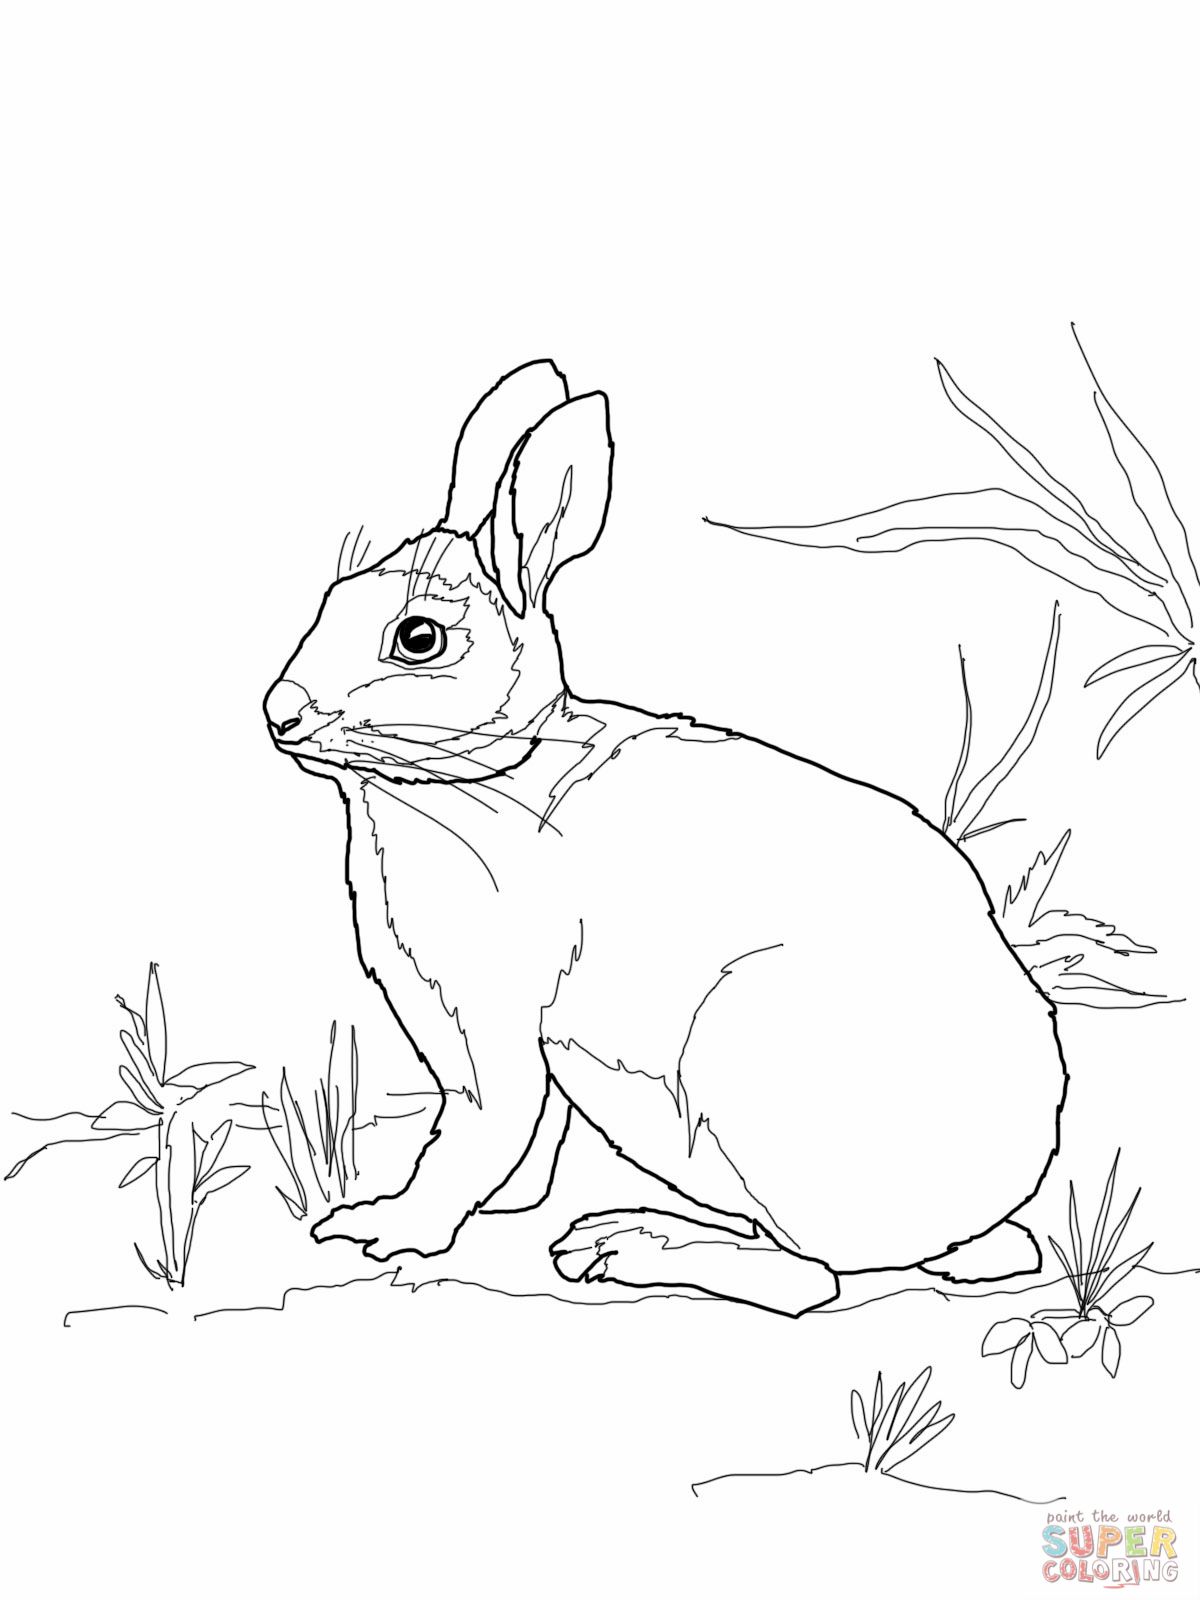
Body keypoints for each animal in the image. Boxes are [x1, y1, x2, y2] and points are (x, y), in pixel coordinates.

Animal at [263, 358, 1068, 1316]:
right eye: (330, 602)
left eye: (418, 638)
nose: (279, 713)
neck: (484, 777)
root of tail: (972, 1216)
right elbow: (523, 1143)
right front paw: (486, 1211)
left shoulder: (495, 1024)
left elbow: (478, 1132)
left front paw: (390, 1230)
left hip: (748, 1061)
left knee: (807, 1280)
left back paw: (626, 1248)